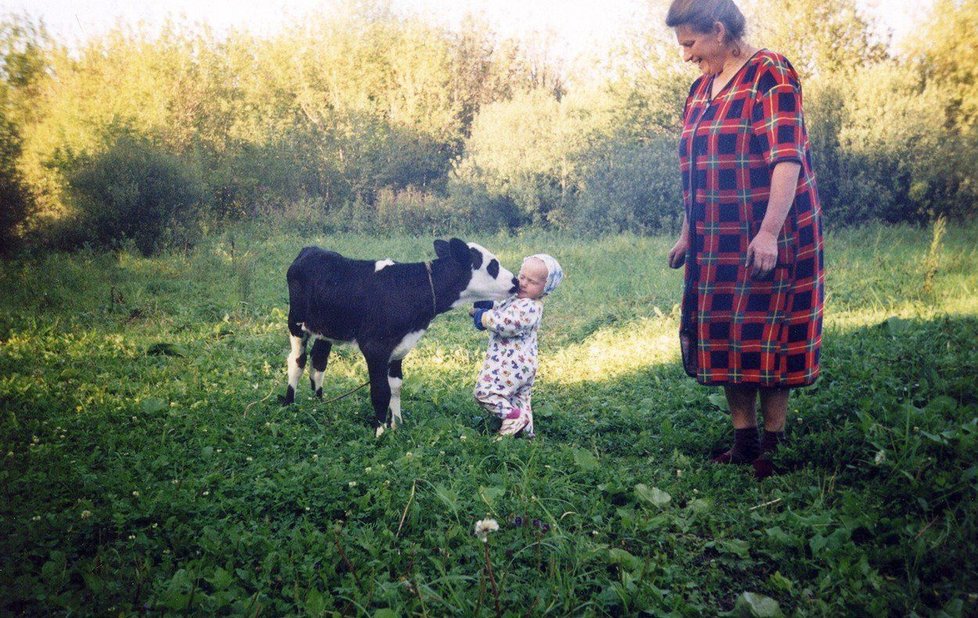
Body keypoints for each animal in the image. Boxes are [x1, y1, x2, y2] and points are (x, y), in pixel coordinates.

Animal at [282, 238, 520, 436]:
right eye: (493, 266)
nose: (516, 281)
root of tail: (311, 249)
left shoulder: (399, 348)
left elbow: (395, 386)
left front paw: (396, 424)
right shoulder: (375, 348)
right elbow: (380, 391)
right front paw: (380, 432)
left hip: (326, 330)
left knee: (319, 362)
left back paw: (319, 402)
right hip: (296, 323)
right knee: (297, 361)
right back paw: (289, 404)